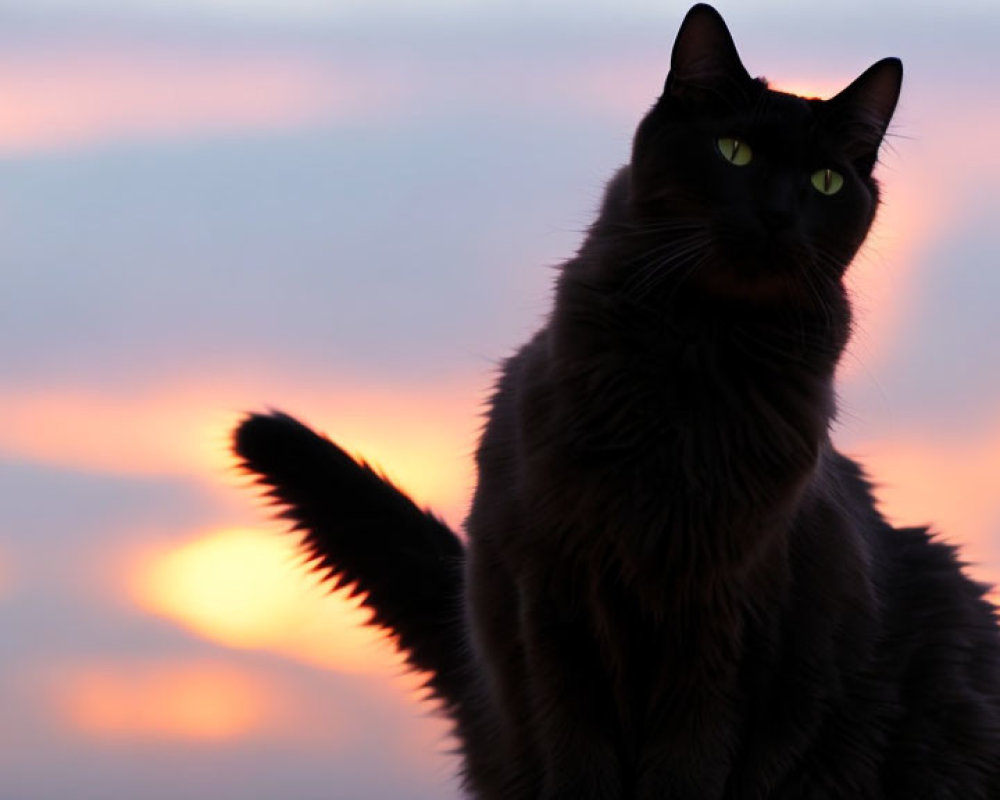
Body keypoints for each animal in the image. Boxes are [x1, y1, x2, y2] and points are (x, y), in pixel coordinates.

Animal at [236, 6, 1000, 800]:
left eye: (823, 182)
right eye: (734, 152)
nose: (778, 215)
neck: (694, 371)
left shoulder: (723, 628)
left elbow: (689, 764)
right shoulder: (556, 605)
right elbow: (580, 756)